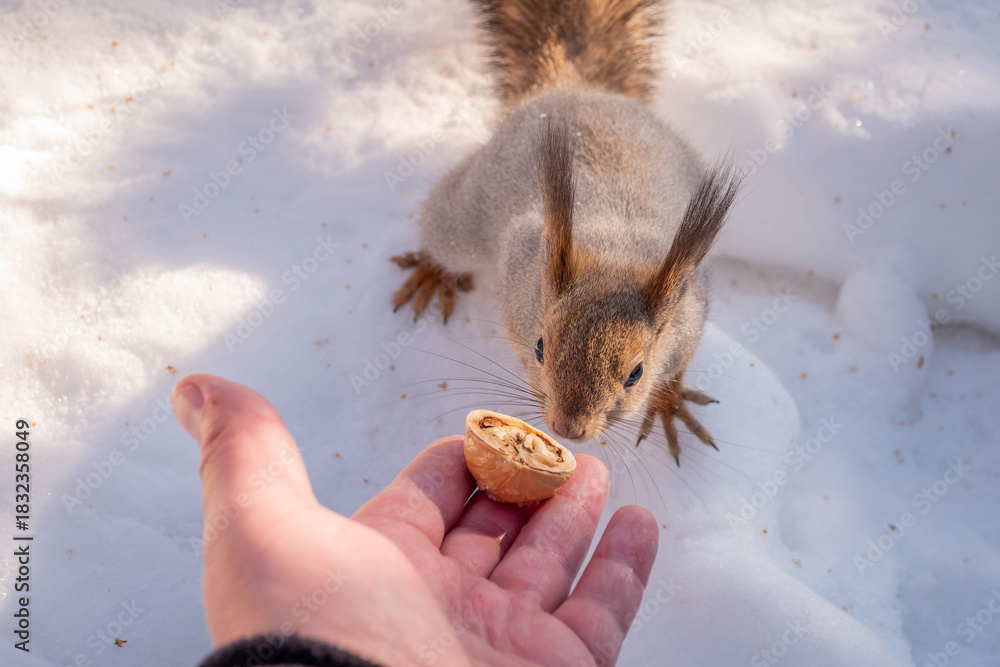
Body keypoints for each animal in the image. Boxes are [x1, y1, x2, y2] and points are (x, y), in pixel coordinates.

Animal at [391, 0, 741, 465]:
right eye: (540, 346)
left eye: (636, 373)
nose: (567, 429)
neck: (614, 255)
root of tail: (578, 89)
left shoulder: (689, 318)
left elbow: (677, 367)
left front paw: (669, 403)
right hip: (469, 211)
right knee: (446, 226)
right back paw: (434, 271)